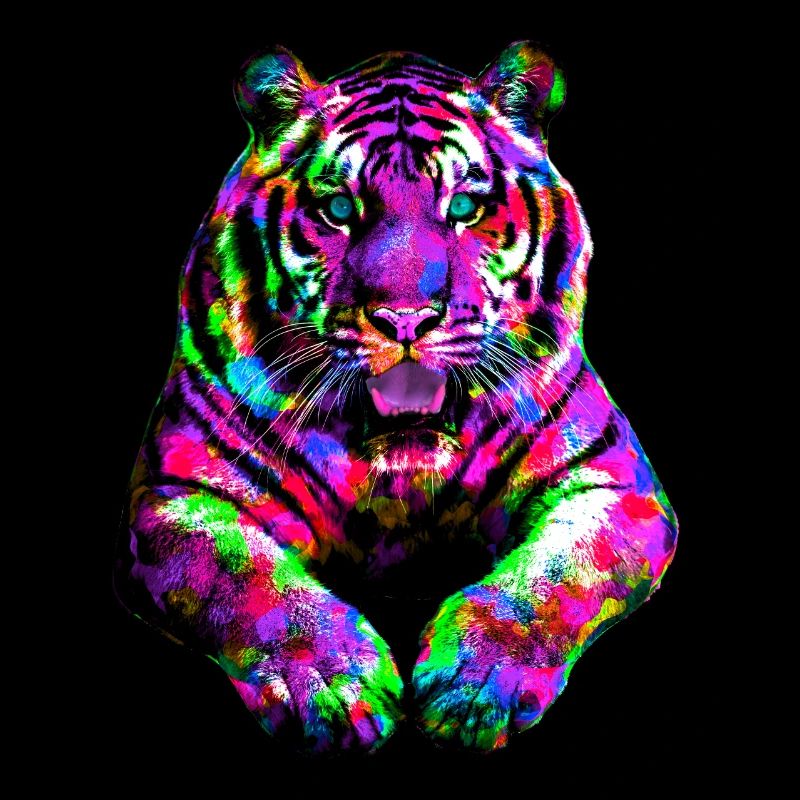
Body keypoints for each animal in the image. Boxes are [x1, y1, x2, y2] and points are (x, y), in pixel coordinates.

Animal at [116, 42, 678, 754]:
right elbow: (241, 577)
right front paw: (331, 686)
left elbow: (555, 577)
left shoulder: (614, 484)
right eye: (339, 210)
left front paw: (474, 687)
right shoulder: (178, 495)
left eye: (463, 209)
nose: (405, 318)